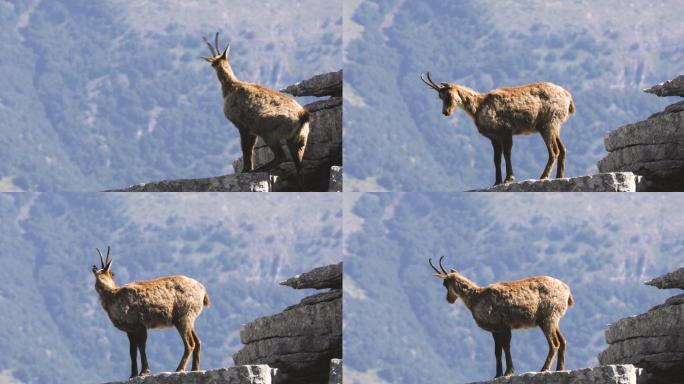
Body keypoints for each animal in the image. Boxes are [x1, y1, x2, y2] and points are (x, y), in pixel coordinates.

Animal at [91, 248, 208, 376]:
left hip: (183, 317)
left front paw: (144, 371)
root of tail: (203, 291)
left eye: (113, 273)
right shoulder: (130, 330)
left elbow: (142, 347)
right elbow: (132, 351)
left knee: (190, 344)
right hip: (189, 319)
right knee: (198, 341)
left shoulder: (140, 325)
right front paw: (133, 374)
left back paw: (179, 369)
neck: (114, 296)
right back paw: (195, 368)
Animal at [202, 32, 312, 182]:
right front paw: (248, 168)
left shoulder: (242, 126)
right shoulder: (252, 130)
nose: (212, 64)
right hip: (299, 141)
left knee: (281, 156)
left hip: (269, 132)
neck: (232, 86)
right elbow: (251, 147)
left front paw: (246, 169)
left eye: (213, 63)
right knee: (299, 166)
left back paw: (260, 169)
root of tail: (302, 116)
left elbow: (246, 148)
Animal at [420, 73, 576, 186]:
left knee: (554, 151)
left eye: (448, 94)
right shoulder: (494, 137)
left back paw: (543, 176)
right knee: (563, 148)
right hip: (555, 125)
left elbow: (507, 154)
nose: (445, 112)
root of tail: (568, 97)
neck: (478, 106)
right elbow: (496, 159)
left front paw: (509, 178)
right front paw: (497, 181)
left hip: (547, 124)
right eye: (440, 97)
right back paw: (559, 176)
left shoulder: (505, 131)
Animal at [430, 256, 576, 376]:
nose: (449, 299)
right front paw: (498, 374)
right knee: (563, 340)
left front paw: (508, 372)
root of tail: (567, 291)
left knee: (555, 343)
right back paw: (559, 369)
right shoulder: (495, 329)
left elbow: (506, 347)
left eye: (445, 284)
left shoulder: (503, 325)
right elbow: (497, 351)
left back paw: (544, 369)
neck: (476, 298)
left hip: (547, 318)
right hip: (554, 319)